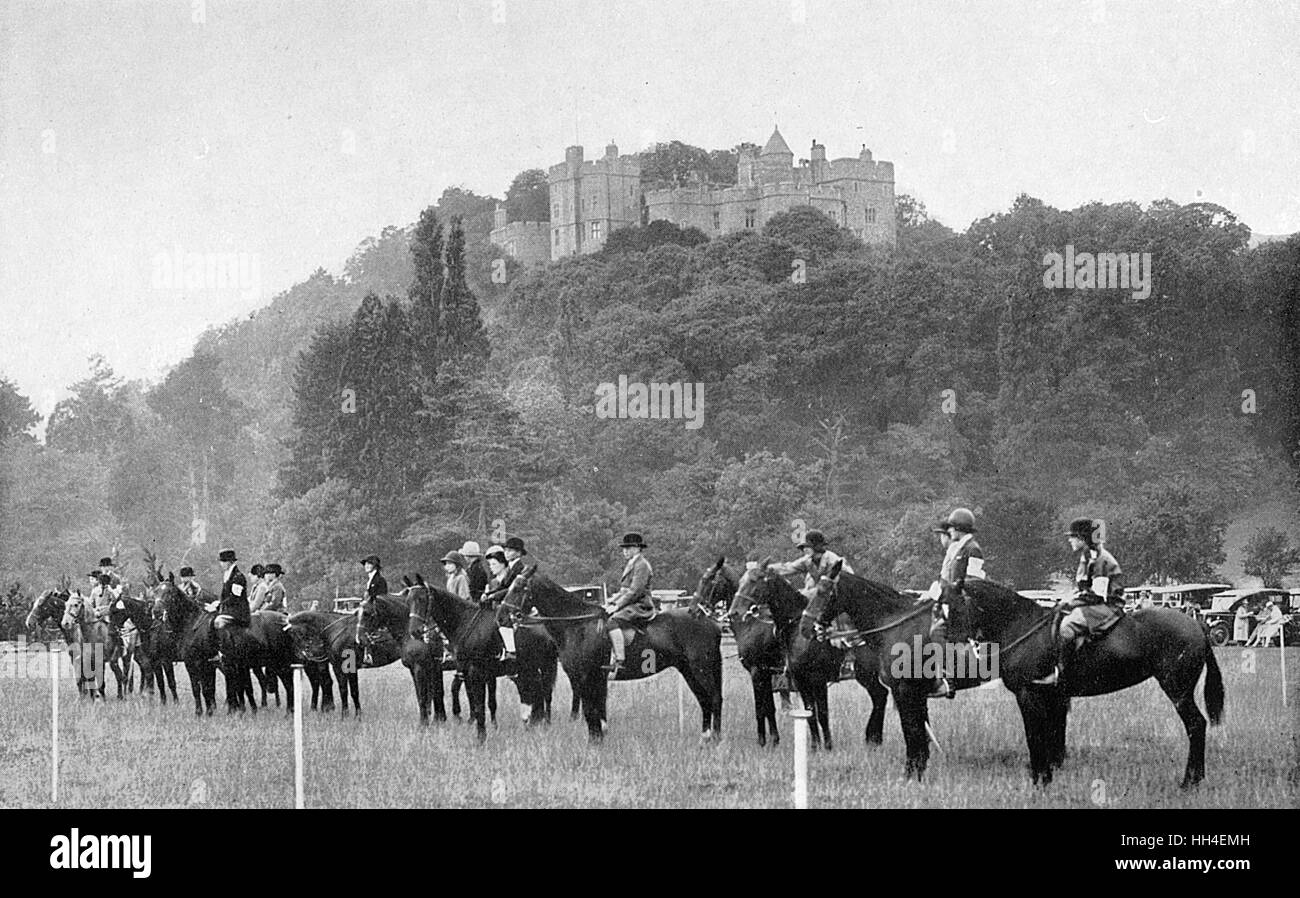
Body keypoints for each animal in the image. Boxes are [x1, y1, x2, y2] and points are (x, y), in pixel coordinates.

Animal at [400, 577, 553, 743]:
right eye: (408, 601)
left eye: (422, 599)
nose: (414, 631)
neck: (464, 622)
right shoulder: (467, 672)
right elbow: (473, 701)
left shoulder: (476, 672)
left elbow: (479, 704)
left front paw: (481, 737)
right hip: (529, 669)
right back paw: (534, 723)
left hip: (544, 667)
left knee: (546, 694)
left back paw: (544, 724)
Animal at [514, 569, 722, 743]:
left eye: (518, 587)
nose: (506, 614)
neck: (578, 625)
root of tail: (710, 621)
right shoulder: (593, 678)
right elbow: (596, 710)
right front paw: (599, 738)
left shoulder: (587, 677)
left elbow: (590, 710)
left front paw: (594, 742)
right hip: (689, 671)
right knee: (704, 699)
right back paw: (705, 737)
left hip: (700, 670)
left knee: (714, 698)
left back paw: (716, 738)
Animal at [733, 561, 894, 753]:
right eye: (740, 581)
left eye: (754, 580)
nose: (734, 612)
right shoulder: (799, 680)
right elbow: (808, 713)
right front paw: (814, 746)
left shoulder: (815, 680)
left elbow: (822, 714)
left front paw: (828, 746)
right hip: (866, 676)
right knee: (880, 695)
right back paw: (873, 739)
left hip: (866, 675)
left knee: (880, 696)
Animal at [951, 579, 1222, 790]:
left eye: (950, 605)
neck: (1024, 627)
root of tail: (1197, 625)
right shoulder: (1052, 697)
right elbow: (1052, 735)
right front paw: (1049, 773)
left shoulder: (1029, 695)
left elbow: (1035, 736)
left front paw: (1040, 779)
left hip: (1178, 691)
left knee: (1196, 725)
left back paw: (1189, 781)